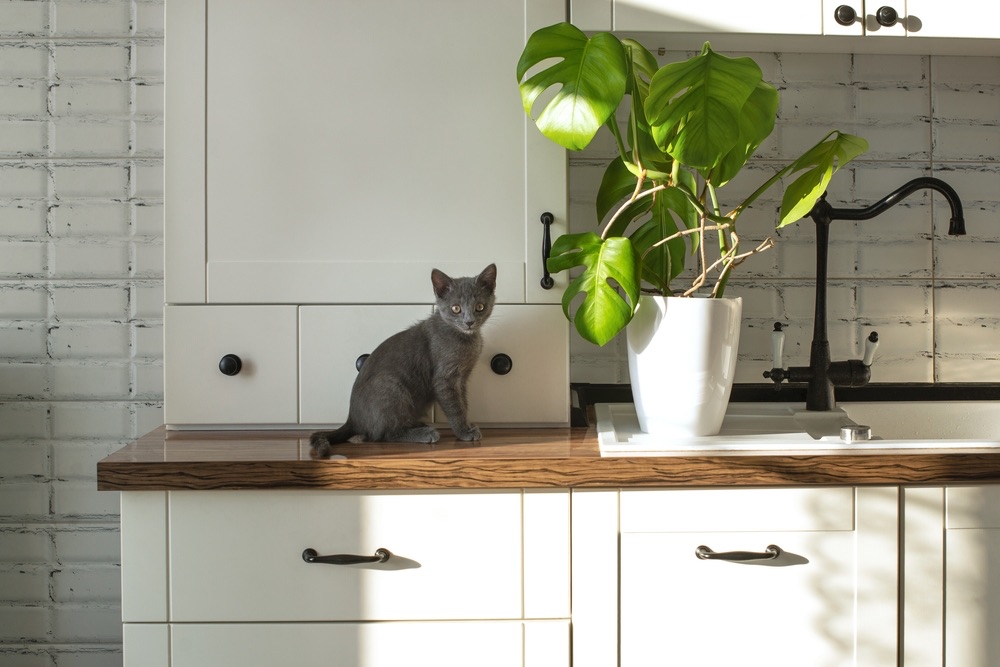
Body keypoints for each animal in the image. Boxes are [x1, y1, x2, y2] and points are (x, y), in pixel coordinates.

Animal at [310, 266, 498, 460]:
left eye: (479, 307)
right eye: (456, 308)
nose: (469, 322)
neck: (465, 338)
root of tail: (351, 418)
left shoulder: (462, 378)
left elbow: (463, 403)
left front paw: (467, 425)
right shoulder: (445, 379)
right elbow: (455, 407)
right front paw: (463, 432)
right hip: (391, 386)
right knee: (383, 434)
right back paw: (424, 434)